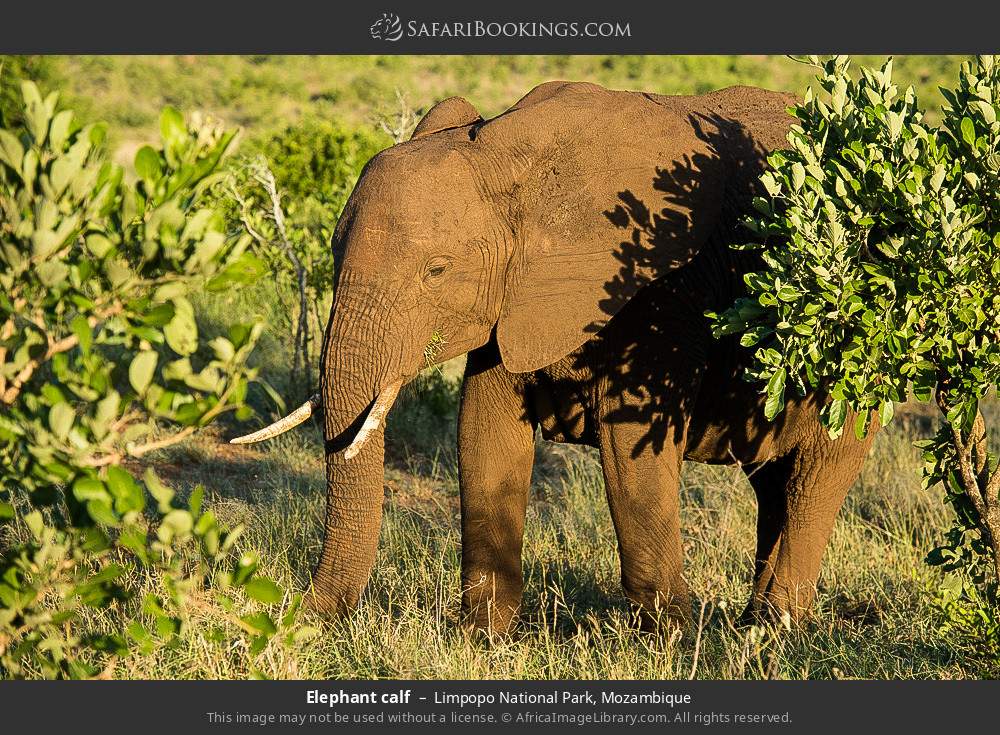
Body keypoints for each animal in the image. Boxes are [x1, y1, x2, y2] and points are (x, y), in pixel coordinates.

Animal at [232, 81, 877, 635]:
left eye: (437, 270)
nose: (301, 616)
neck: (506, 154)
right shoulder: (513, 296)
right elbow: (485, 433)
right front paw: (482, 639)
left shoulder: (657, 285)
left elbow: (632, 448)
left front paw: (674, 641)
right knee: (774, 482)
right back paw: (752, 625)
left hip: (859, 344)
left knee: (817, 475)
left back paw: (772, 632)